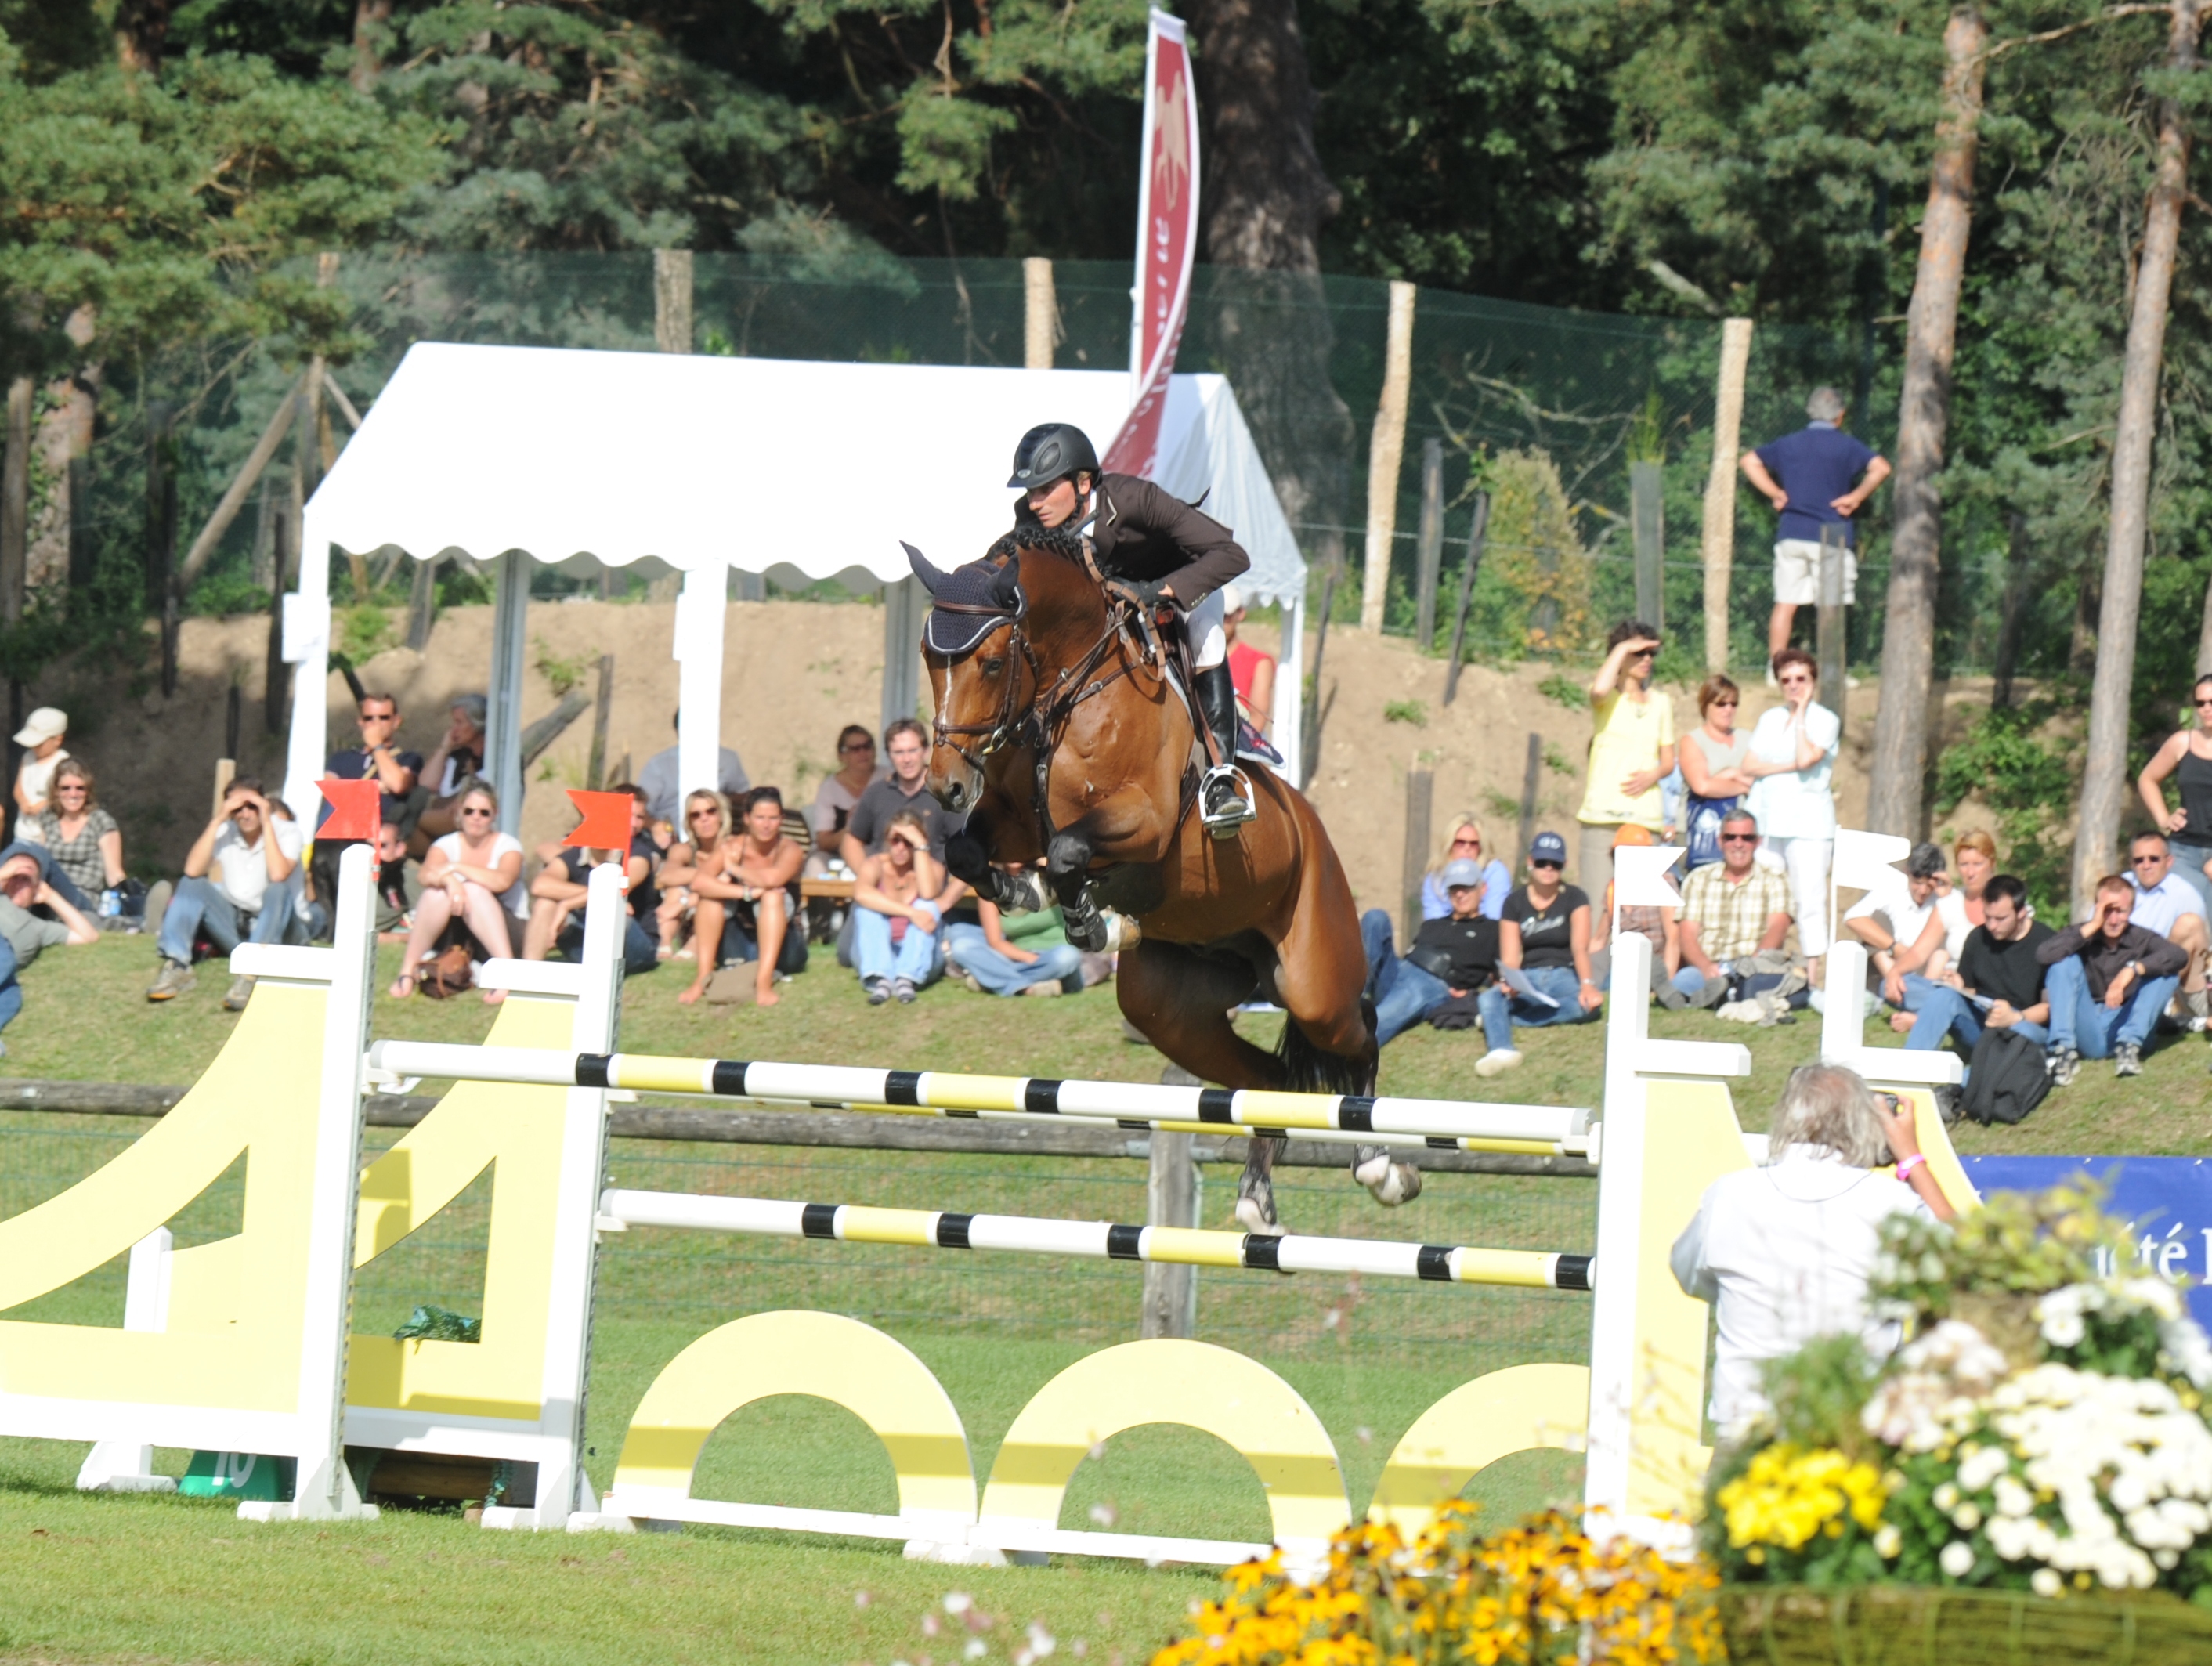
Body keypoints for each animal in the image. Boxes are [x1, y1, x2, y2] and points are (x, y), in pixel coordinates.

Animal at [906, 526, 1424, 1230]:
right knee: (1270, 1079)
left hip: (1312, 976)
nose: (947, 785)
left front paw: (1089, 920)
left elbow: (1068, 849)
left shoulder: (1144, 820)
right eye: (931, 659)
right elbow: (967, 852)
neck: (1071, 687)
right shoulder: (1011, 821)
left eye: (989, 663)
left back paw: (1379, 1167)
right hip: (1170, 1009)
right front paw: (1030, 893)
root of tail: (1312, 825)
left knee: (1359, 1032)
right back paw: (1258, 1200)